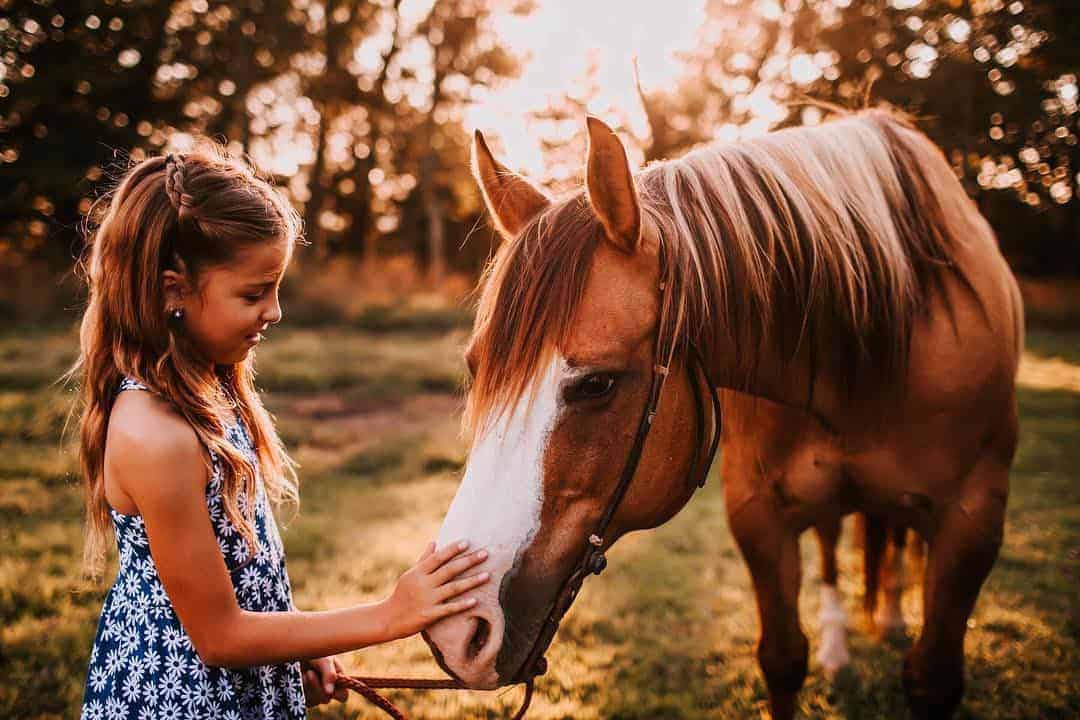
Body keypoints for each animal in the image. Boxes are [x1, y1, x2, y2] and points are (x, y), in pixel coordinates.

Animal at [419, 108, 1019, 720]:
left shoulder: (972, 522)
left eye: (597, 384)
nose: (454, 631)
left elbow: (932, 677)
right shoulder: (759, 513)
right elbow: (783, 658)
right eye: (475, 367)